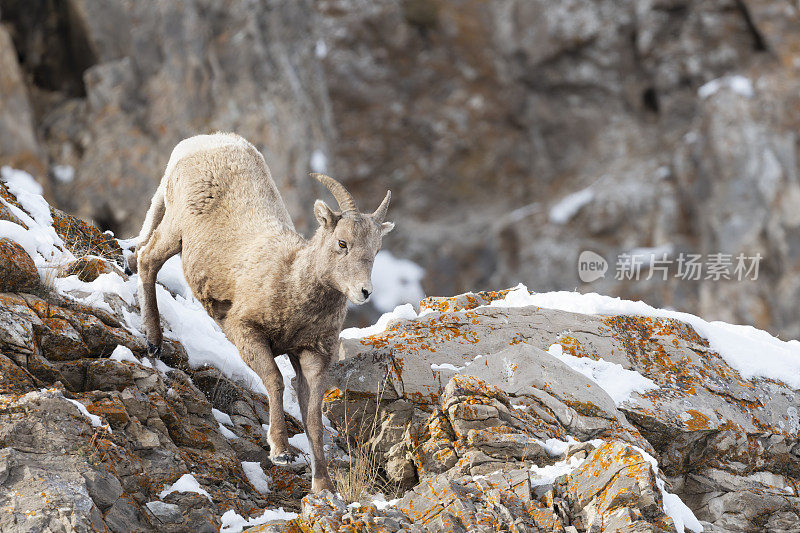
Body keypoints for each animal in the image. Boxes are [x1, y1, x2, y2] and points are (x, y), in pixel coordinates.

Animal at [132, 132, 394, 490]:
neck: (291, 279)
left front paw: (323, 487)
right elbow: (274, 380)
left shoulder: (312, 354)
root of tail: (198, 143)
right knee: (147, 259)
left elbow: (312, 419)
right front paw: (281, 452)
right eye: (342, 243)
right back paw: (154, 342)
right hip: (175, 230)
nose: (364, 292)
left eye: (377, 250)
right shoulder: (247, 332)